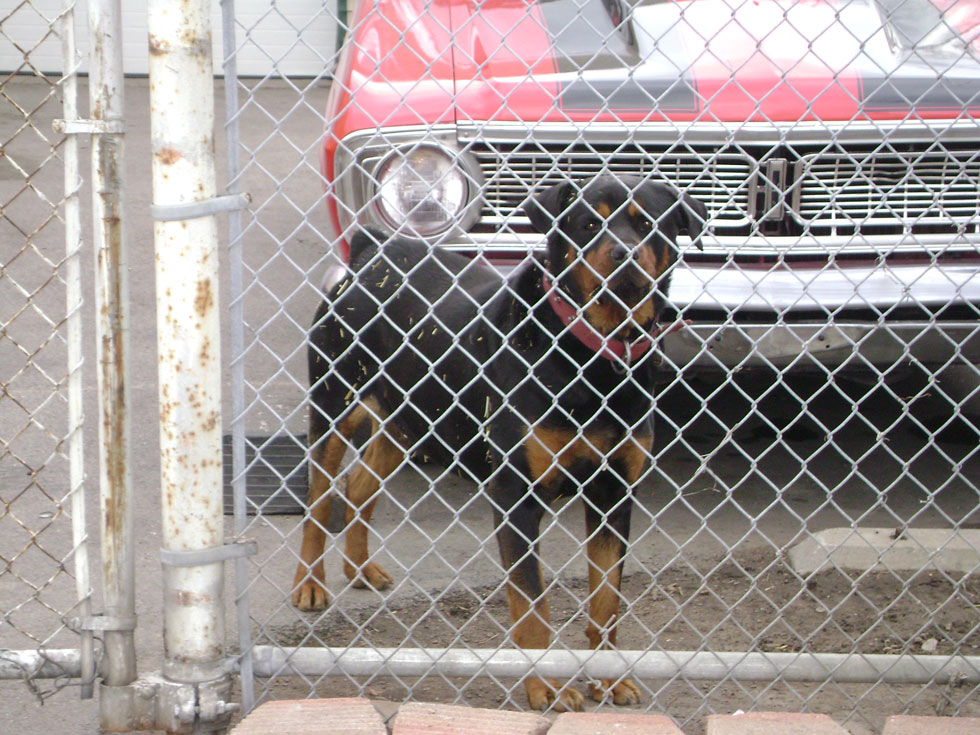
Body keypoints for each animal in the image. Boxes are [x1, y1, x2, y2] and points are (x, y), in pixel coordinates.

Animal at [290, 174, 704, 712]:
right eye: (588, 224)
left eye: (648, 223)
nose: (625, 254)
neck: (591, 356)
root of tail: (372, 249)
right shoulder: (517, 496)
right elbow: (532, 606)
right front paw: (547, 687)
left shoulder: (614, 494)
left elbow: (607, 600)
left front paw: (610, 679)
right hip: (334, 403)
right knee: (319, 501)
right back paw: (309, 587)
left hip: (412, 419)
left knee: (360, 486)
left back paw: (361, 570)